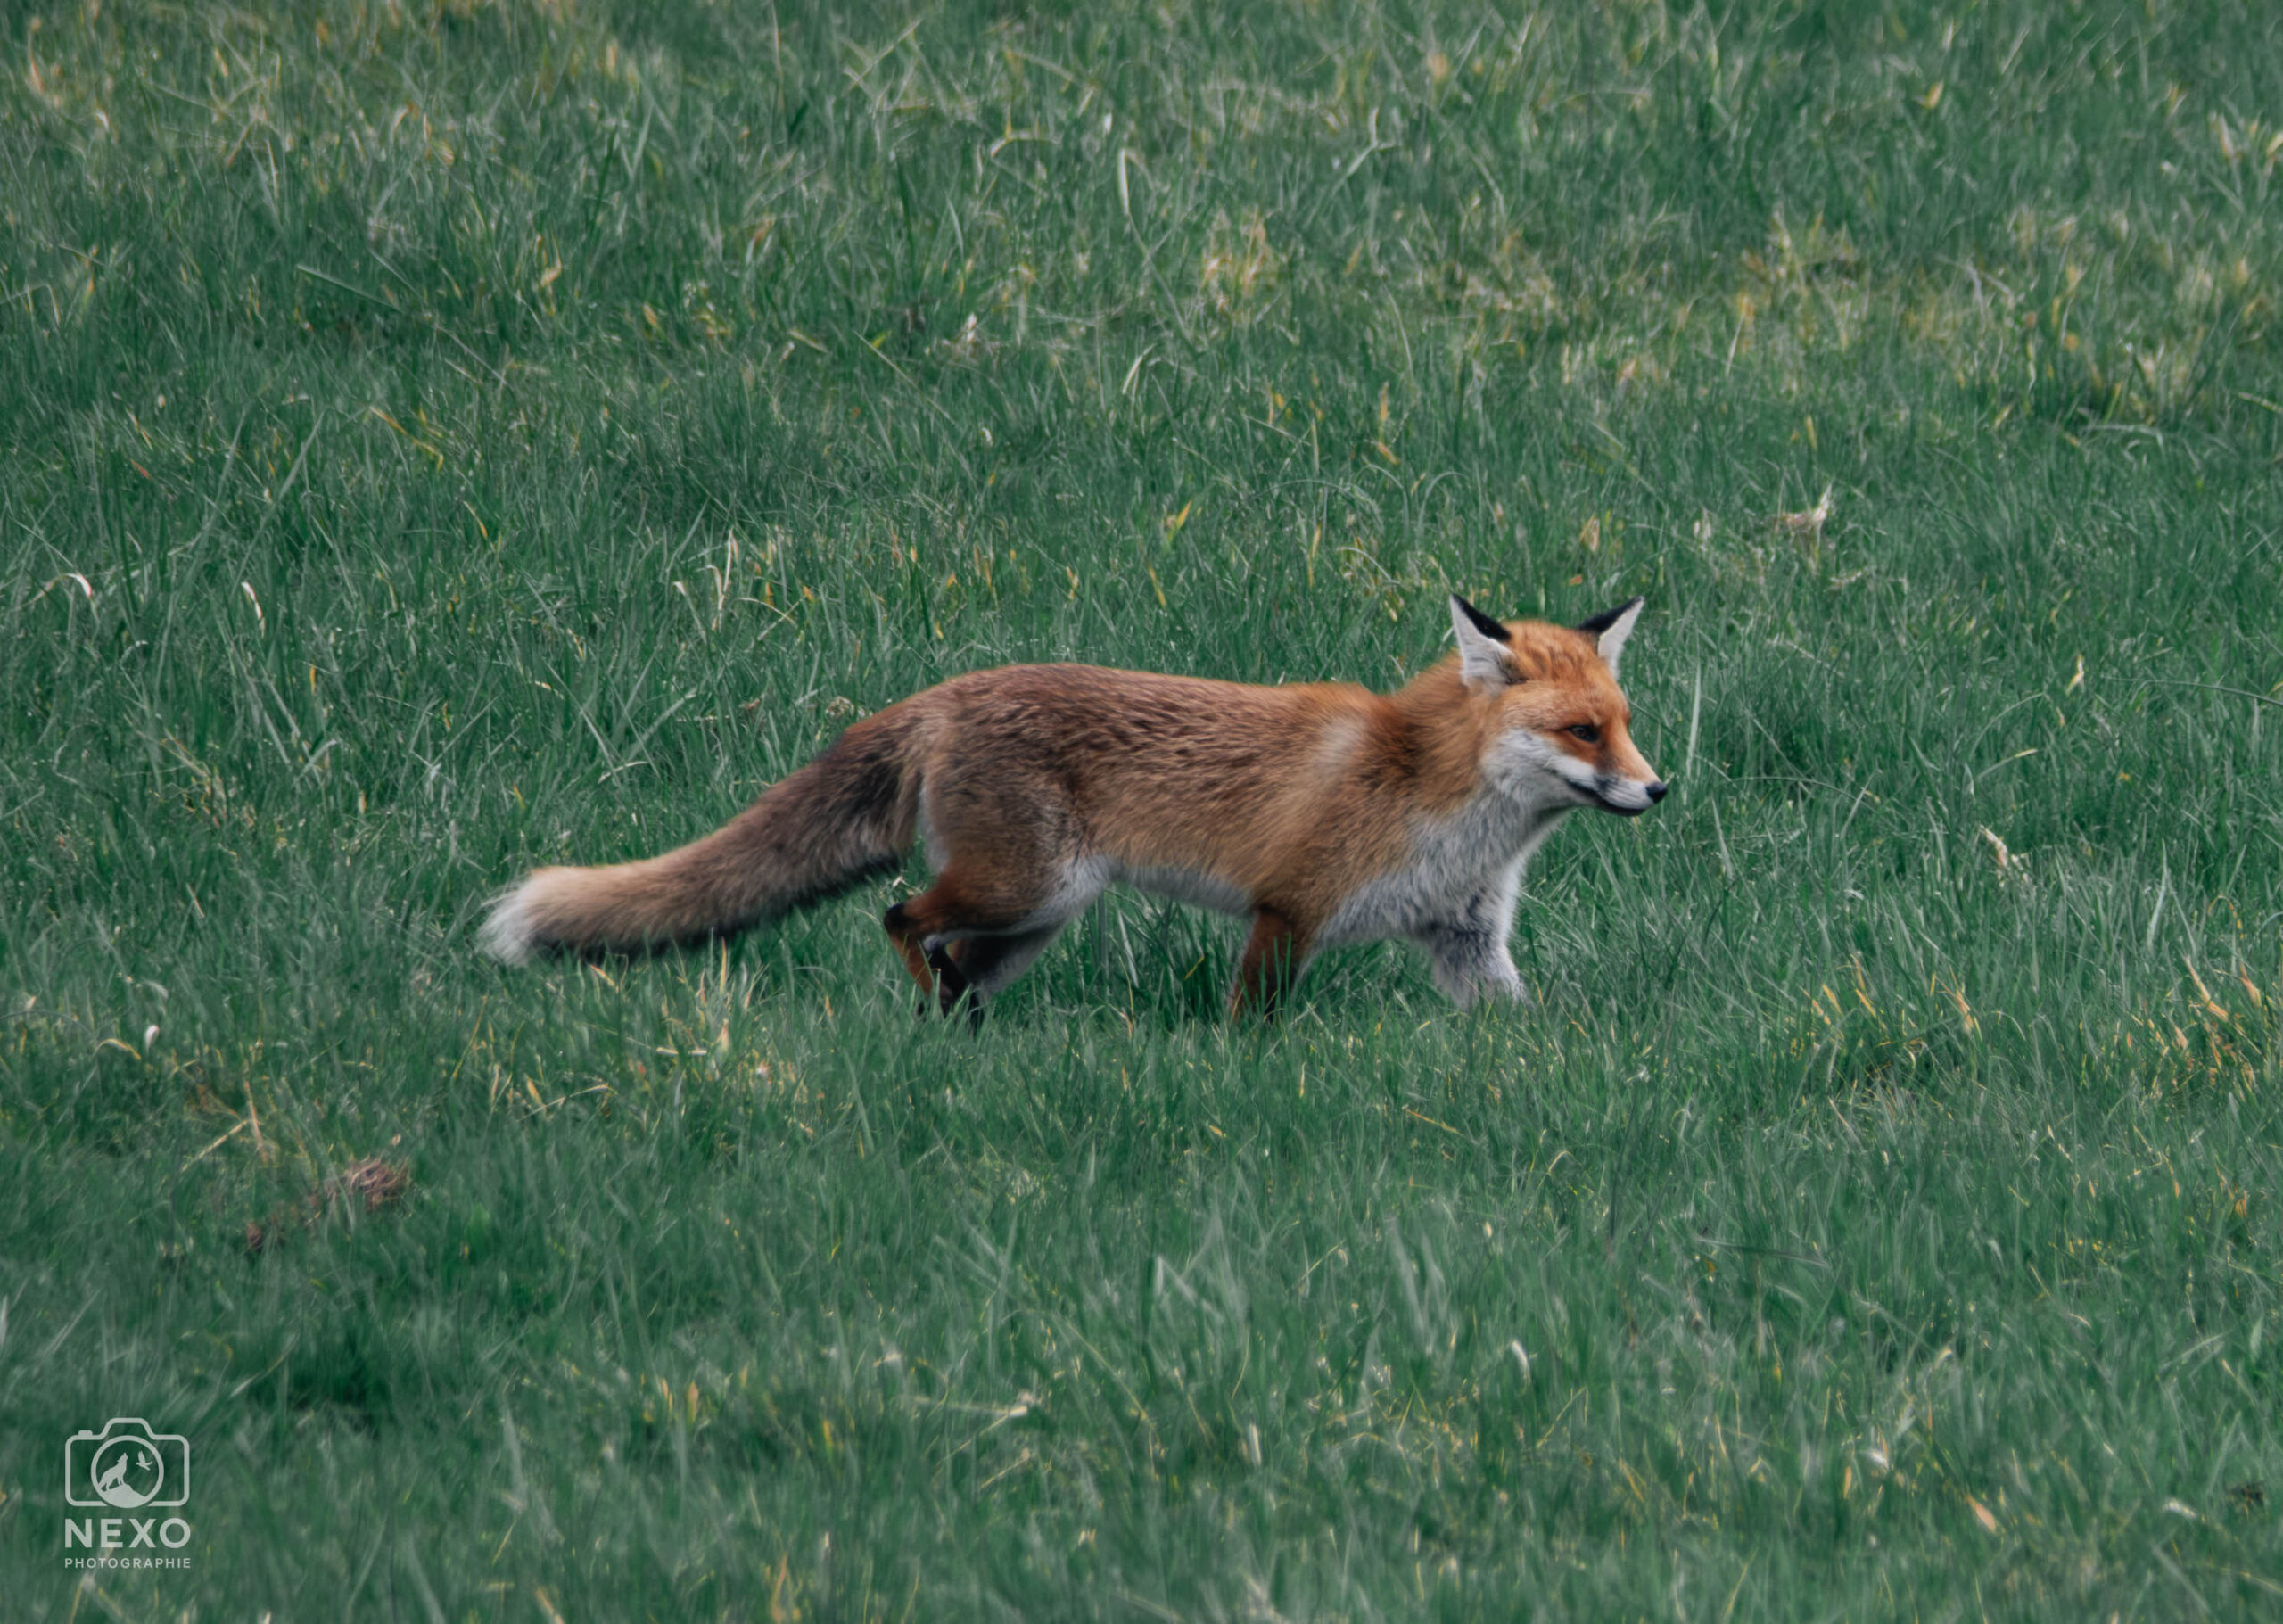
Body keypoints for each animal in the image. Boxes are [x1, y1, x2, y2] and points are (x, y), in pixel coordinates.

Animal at [479, 594, 1665, 1017]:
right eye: (1580, 733)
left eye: (1622, 720)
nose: (1658, 788)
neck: (1435, 799)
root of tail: (946, 692)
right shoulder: (1287, 910)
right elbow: (1251, 1024)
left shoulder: (1466, 941)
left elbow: (1518, 1029)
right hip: (1023, 887)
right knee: (898, 916)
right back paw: (934, 1014)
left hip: (1032, 919)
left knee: (945, 951)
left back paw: (955, 1028)